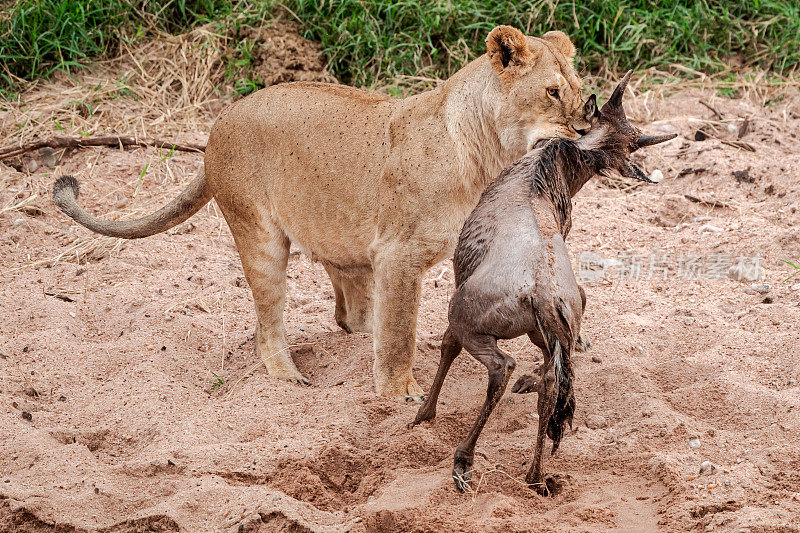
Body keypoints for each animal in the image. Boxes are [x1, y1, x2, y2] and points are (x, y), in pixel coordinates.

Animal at [412, 71, 676, 494]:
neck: (543, 171)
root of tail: (541, 294)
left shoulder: (458, 290)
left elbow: (447, 348)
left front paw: (423, 415)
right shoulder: (554, 330)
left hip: (469, 320)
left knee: (500, 366)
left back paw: (463, 460)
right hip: (552, 329)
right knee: (554, 384)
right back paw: (535, 475)